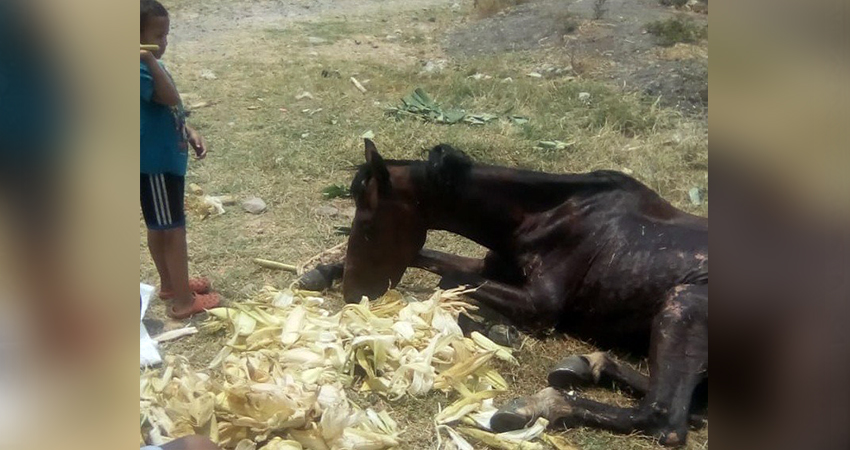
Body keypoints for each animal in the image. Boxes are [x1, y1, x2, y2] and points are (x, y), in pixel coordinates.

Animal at [302, 140, 704, 446]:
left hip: (682, 304)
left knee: (664, 417)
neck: (547, 216)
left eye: (370, 226)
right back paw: (586, 365)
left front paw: (493, 328)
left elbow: (446, 284)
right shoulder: (489, 267)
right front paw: (320, 271)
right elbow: (429, 259)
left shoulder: (541, 305)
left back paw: (535, 406)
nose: (353, 294)